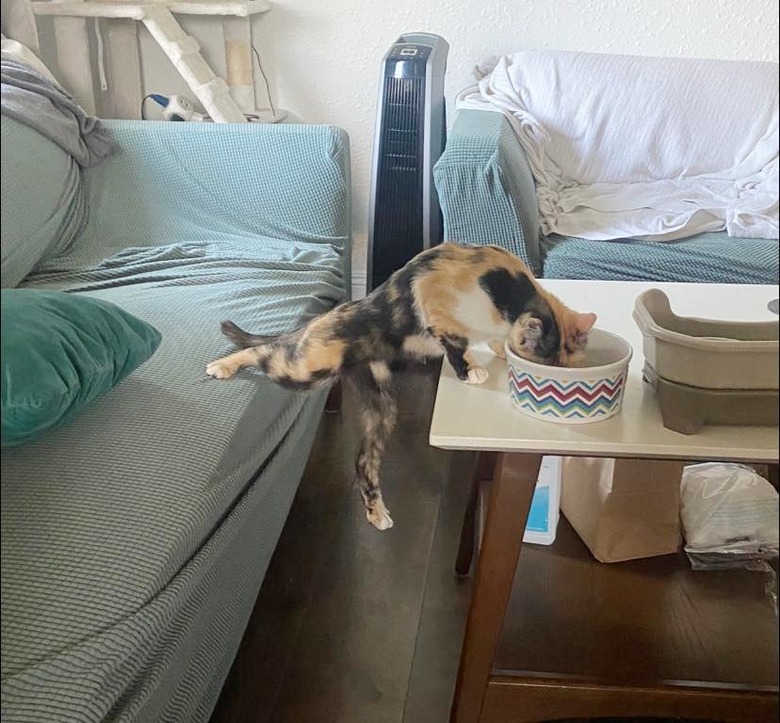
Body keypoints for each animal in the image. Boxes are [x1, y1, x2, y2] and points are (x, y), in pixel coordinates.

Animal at [204, 243, 596, 532]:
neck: (508, 285)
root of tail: (320, 319)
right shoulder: (436, 299)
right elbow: (456, 341)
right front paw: (470, 370)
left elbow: (494, 340)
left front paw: (498, 351)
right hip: (307, 367)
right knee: (263, 351)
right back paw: (224, 365)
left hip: (381, 405)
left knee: (363, 461)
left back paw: (376, 513)